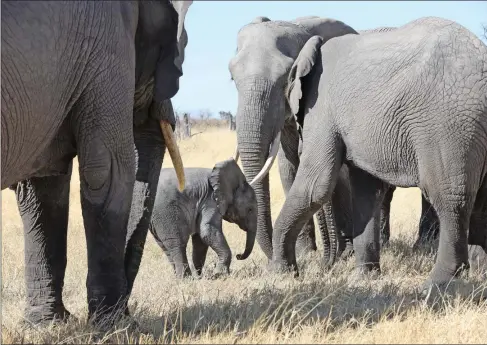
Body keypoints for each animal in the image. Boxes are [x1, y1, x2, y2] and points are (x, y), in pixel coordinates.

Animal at [2, 0, 193, 326]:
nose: (130, 308)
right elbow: (109, 170)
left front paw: (47, 324)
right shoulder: (106, 47)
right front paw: (115, 326)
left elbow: (42, 189)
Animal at [270, 16, 487, 292]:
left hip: (449, 124)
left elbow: (315, 186)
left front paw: (279, 274)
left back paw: (436, 285)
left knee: (449, 198)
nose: (326, 267)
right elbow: (366, 191)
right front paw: (363, 279)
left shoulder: (322, 107)